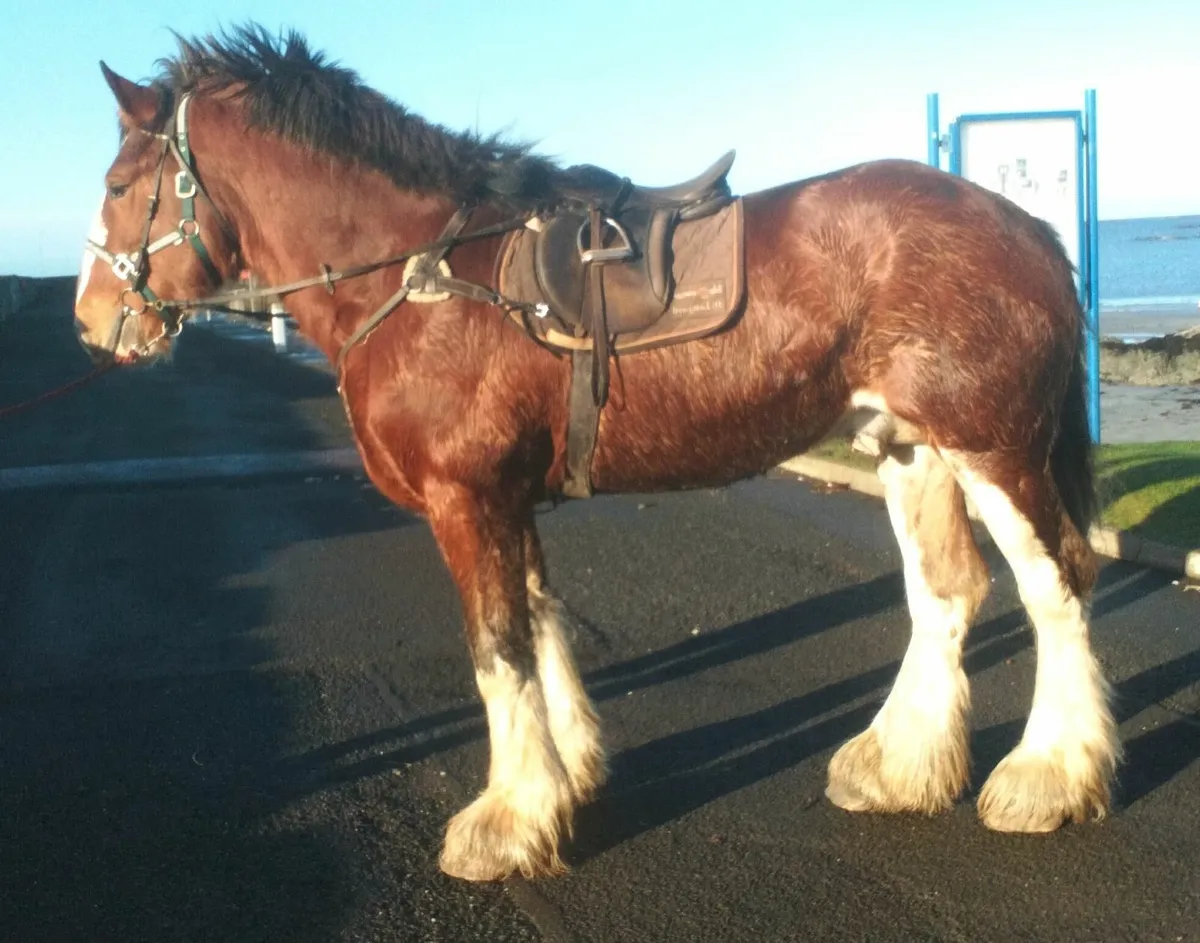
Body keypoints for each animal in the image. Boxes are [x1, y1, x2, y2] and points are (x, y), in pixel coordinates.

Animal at [74, 26, 1119, 882]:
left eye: (120, 187)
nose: (91, 320)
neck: (424, 274)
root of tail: (1024, 225)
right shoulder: (508, 499)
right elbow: (540, 624)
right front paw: (564, 776)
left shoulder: (467, 500)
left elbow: (497, 650)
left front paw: (506, 819)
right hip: (909, 446)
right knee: (946, 592)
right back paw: (900, 764)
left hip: (993, 447)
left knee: (1055, 582)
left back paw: (1047, 776)